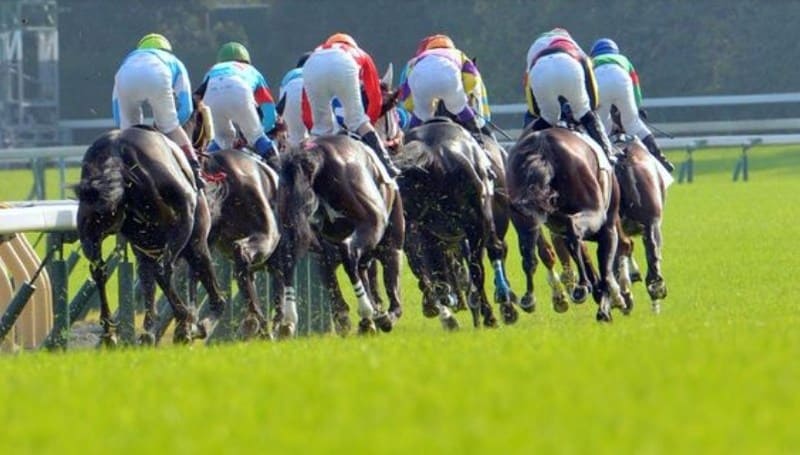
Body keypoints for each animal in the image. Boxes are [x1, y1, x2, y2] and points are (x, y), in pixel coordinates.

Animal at [76, 125, 227, 346]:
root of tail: (116, 149)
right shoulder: (197, 242)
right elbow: (213, 292)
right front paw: (197, 325)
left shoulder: (143, 249)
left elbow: (148, 283)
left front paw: (149, 331)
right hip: (183, 227)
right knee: (164, 269)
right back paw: (183, 318)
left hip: (90, 231)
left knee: (99, 270)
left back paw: (109, 332)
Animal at [510, 126, 628, 322]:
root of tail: (542, 145)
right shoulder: (608, 229)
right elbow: (604, 267)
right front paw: (608, 304)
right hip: (593, 213)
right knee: (573, 227)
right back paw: (582, 286)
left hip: (523, 217)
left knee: (528, 251)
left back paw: (529, 298)